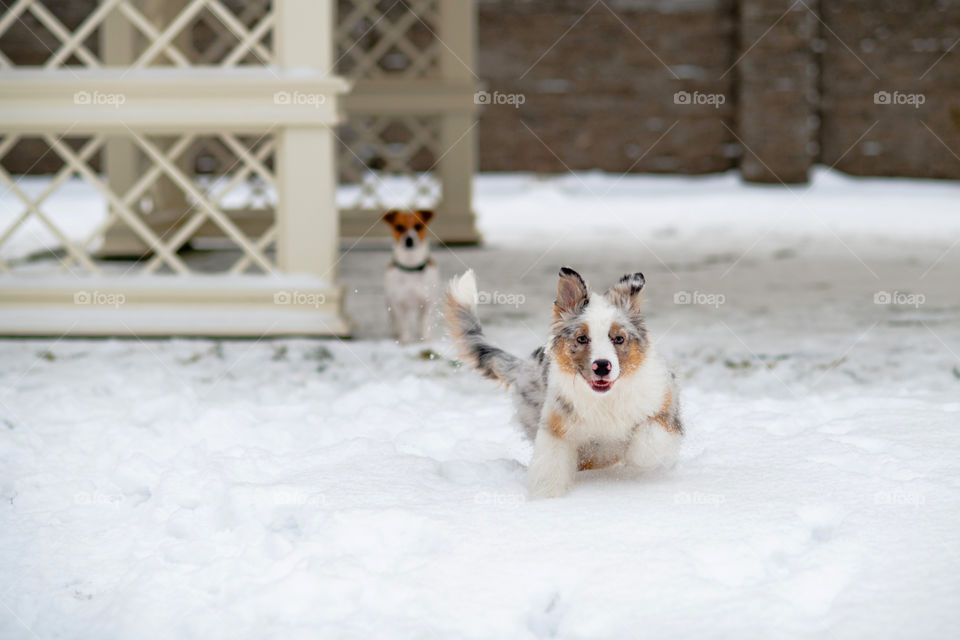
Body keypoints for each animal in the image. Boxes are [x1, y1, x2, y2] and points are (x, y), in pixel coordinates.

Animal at [384, 208, 440, 342]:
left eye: (418, 226)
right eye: (399, 227)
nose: (409, 239)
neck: (411, 267)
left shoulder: (427, 303)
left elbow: (425, 322)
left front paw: (425, 339)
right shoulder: (398, 304)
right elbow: (403, 324)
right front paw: (406, 340)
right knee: (394, 321)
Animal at [444, 268, 684, 498]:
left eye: (619, 338)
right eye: (581, 338)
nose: (602, 366)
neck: (604, 399)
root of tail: (522, 366)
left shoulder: (664, 408)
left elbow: (648, 444)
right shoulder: (556, 426)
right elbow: (550, 467)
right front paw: (548, 500)